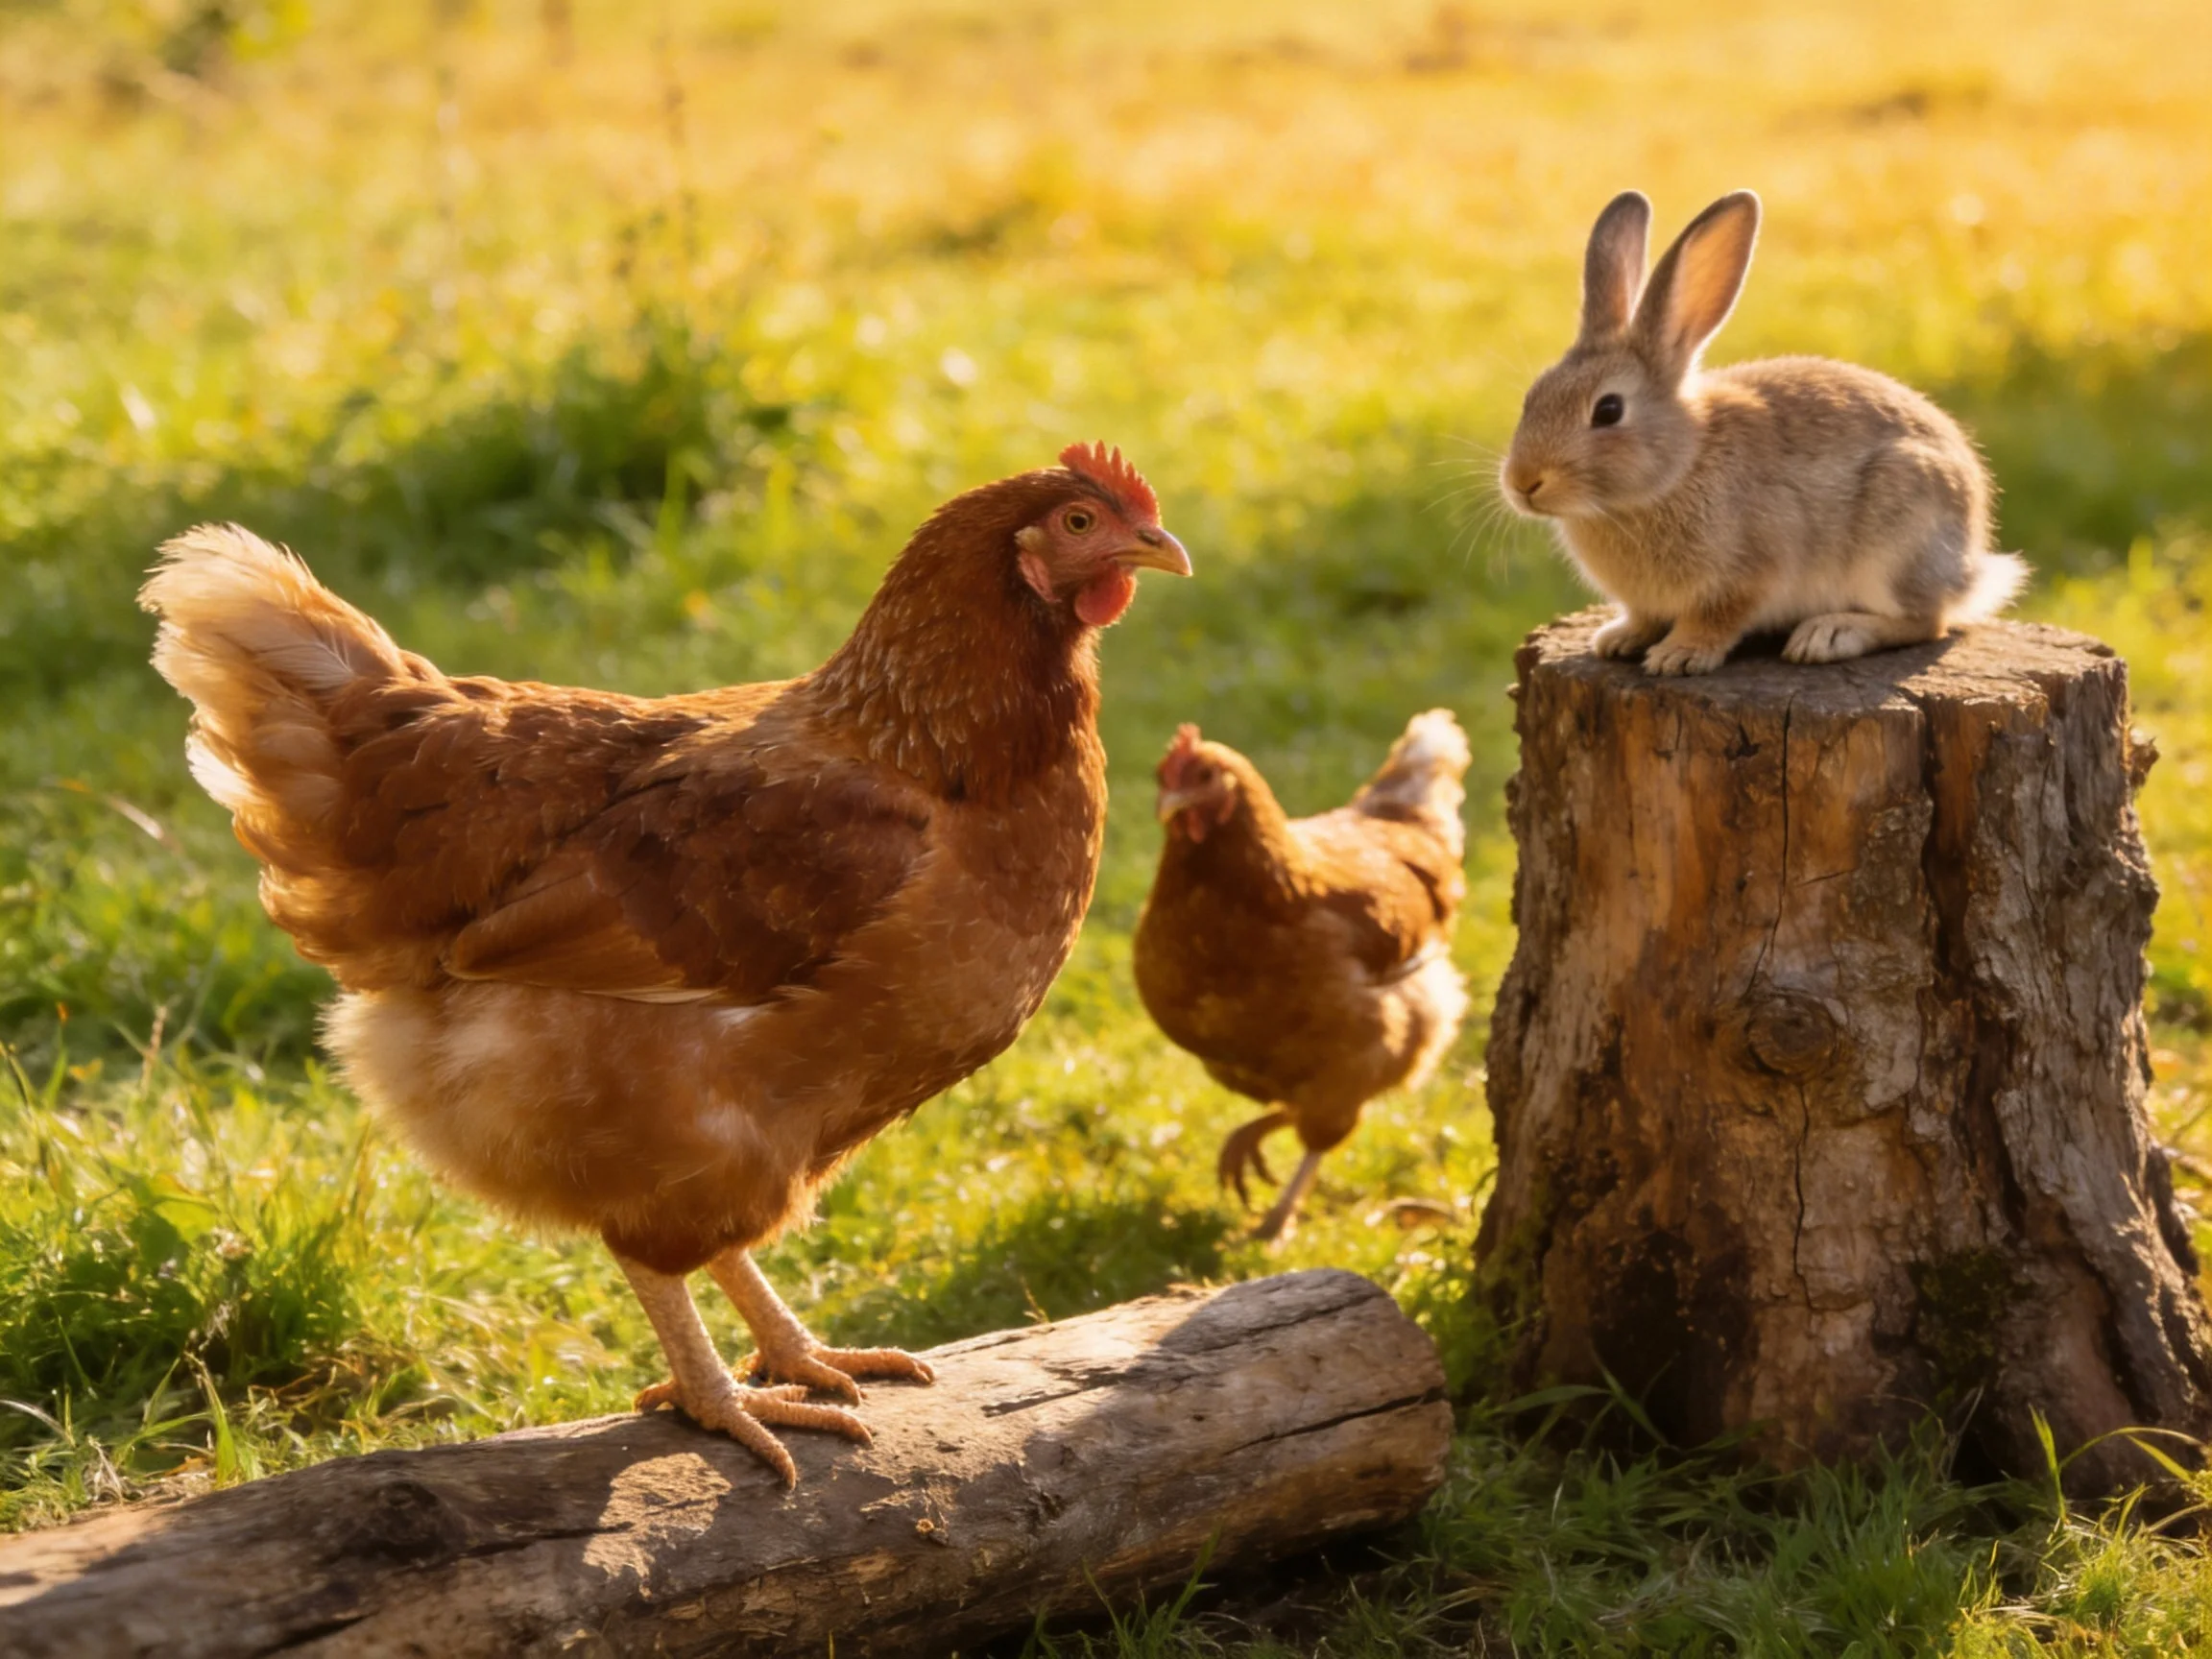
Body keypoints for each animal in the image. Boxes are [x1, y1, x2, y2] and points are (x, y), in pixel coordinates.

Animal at [1501, 189, 2026, 676]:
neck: (1679, 469)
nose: (1523, 482)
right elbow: (1643, 617)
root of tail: (1970, 566)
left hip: (1898, 537)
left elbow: (1717, 619)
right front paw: (1619, 639)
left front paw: (1678, 656)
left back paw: (1829, 635)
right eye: (1531, 396)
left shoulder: (1750, 573)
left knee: (1926, 621)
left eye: (1608, 410)